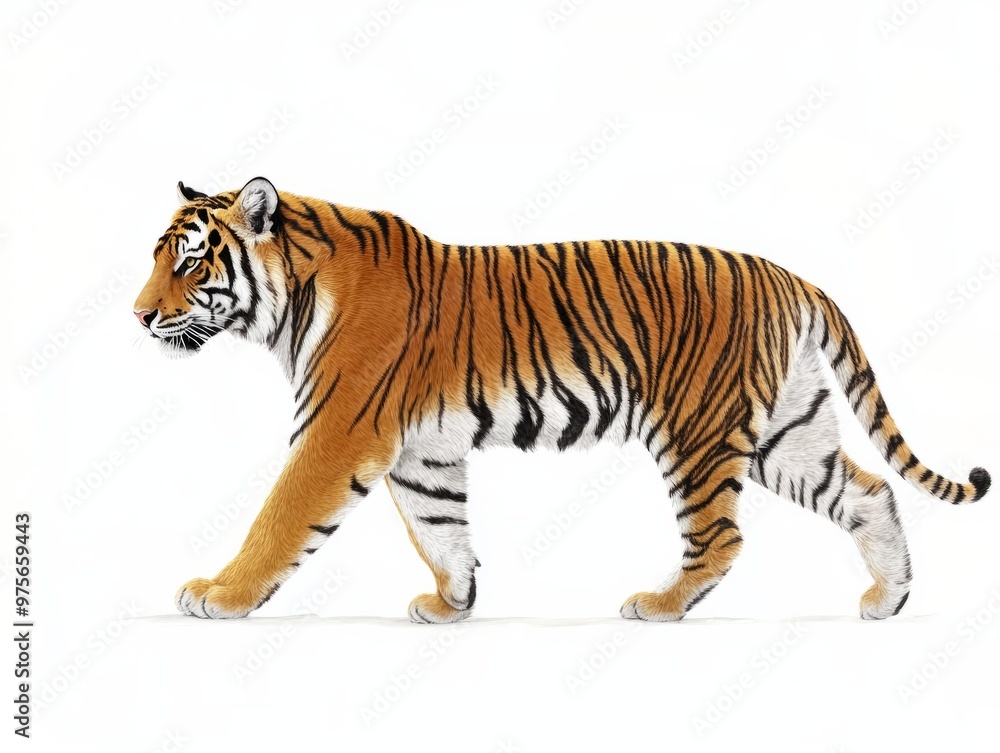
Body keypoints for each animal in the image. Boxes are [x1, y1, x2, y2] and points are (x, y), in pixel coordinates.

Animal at [133, 176, 991, 623]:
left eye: (189, 263)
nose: (138, 315)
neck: (288, 302)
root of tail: (789, 276)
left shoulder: (338, 432)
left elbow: (279, 517)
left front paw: (219, 593)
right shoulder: (421, 452)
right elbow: (440, 528)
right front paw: (454, 601)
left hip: (696, 431)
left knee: (721, 536)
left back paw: (661, 603)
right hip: (789, 430)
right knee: (871, 491)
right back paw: (888, 597)